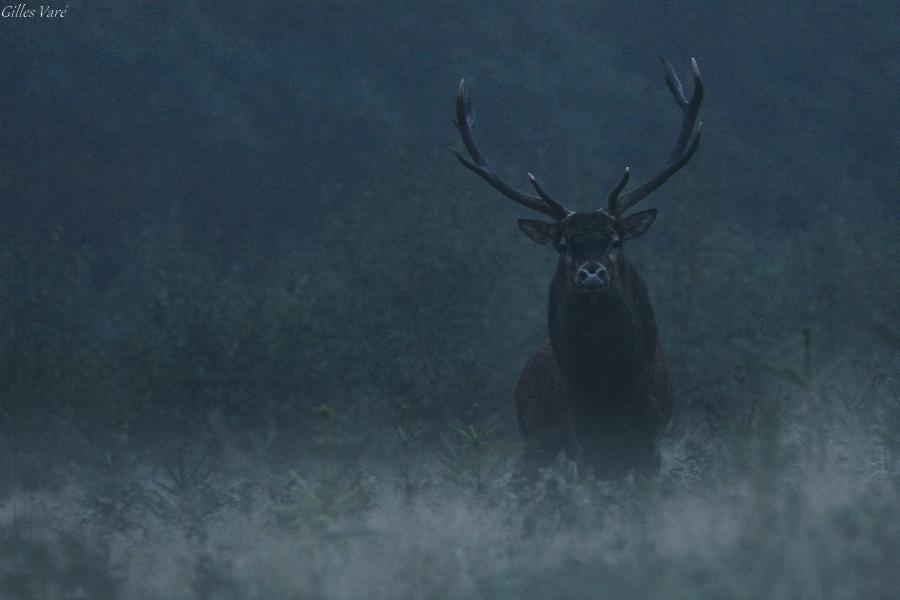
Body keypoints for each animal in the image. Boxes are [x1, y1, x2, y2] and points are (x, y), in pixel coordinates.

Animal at [453, 58, 703, 477]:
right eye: (564, 245)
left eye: (615, 241)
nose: (591, 273)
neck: (610, 389)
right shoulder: (580, 440)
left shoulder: (650, 440)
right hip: (535, 438)